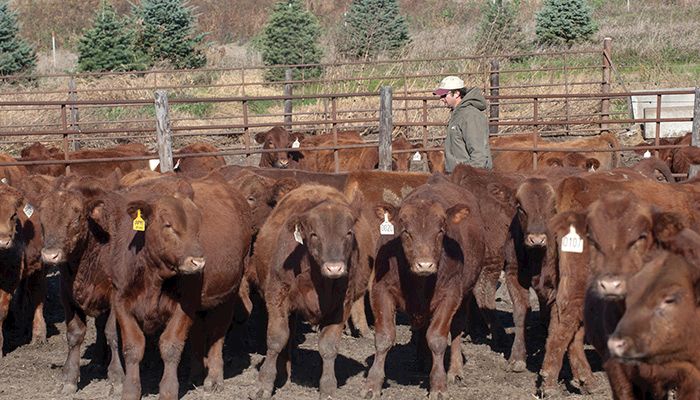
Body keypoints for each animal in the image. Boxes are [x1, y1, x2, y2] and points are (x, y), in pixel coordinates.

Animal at [250, 185, 374, 400]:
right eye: (314, 234)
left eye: (349, 232)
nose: (334, 268)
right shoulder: (277, 297)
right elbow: (276, 339)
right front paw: (264, 383)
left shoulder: (342, 306)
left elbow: (329, 346)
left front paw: (328, 387)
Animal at [364, 179, 484, 400]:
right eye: (405, 231)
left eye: (441, 230)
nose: (425, 265)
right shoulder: (380, 290)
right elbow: (384, 337)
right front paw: (372, 384)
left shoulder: (450, 295)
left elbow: (437, 339)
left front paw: (438, 384)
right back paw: (423, 360)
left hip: (465, 294)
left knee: (456, 329)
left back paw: (455, 370)